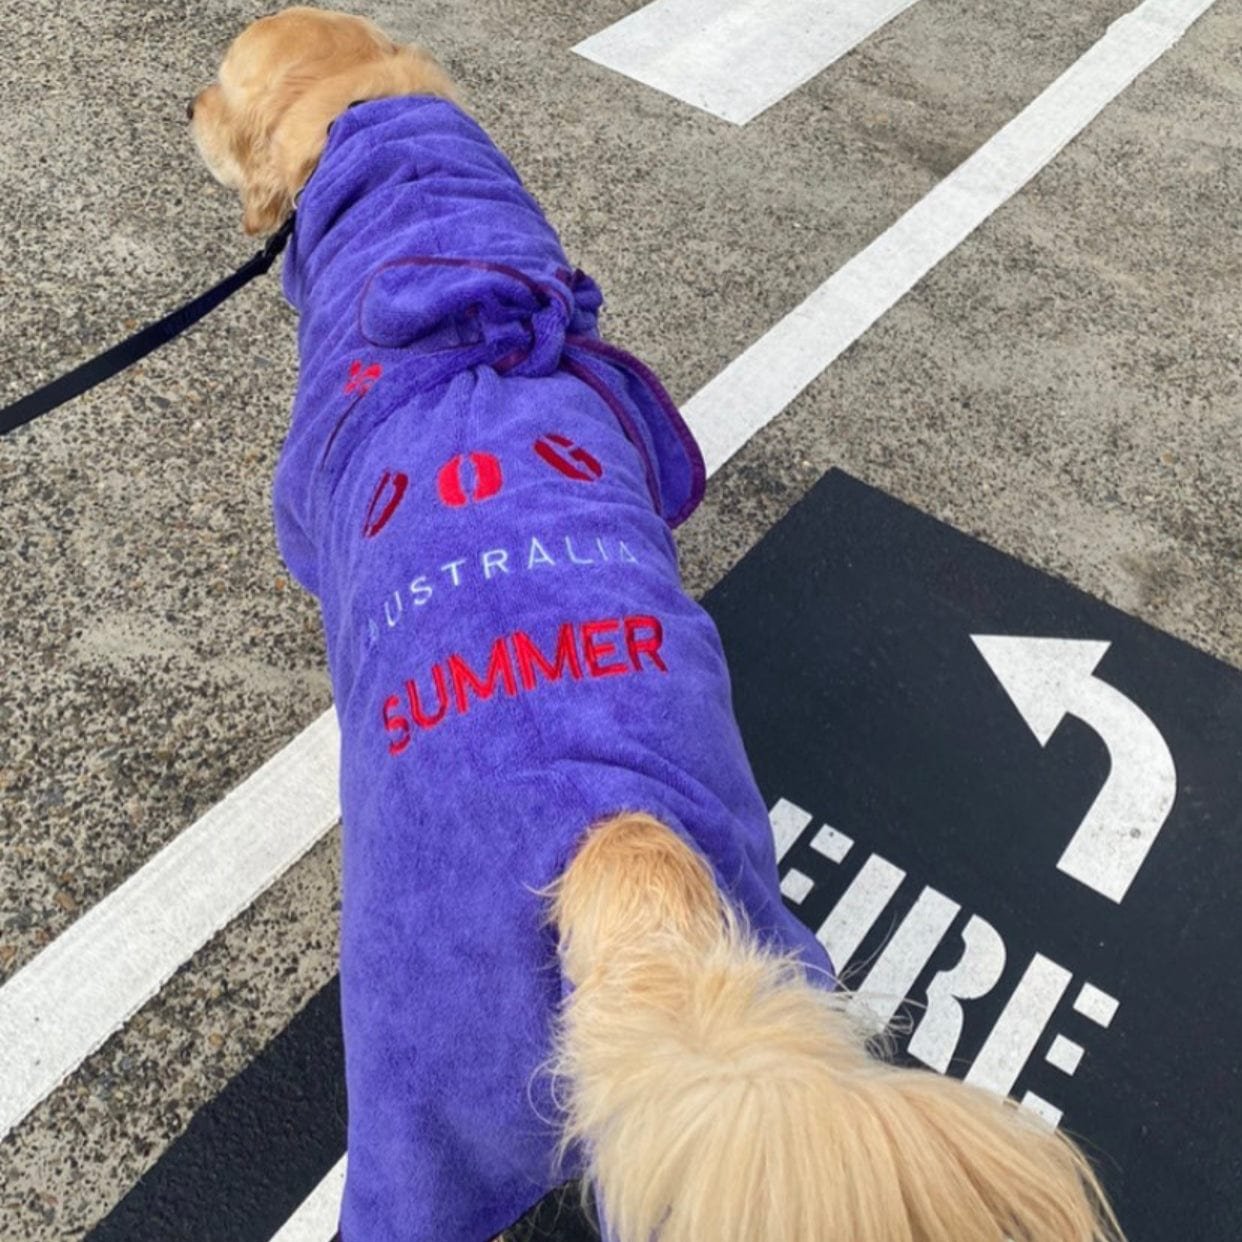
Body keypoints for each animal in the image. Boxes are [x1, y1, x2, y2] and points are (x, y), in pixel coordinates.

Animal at [186, 9, 1127, 1242]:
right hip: (774, 958)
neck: (454, 297)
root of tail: (619, 852)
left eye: (221, 84)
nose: (183, 108)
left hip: (418, 1112)